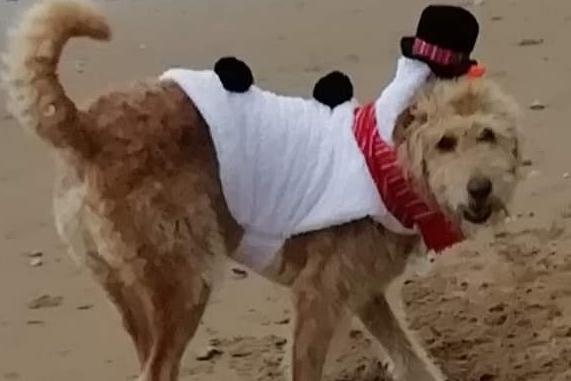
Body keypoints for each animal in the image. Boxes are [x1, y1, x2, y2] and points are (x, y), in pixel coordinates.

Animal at [3, 0, 524, 380]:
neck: (387, 163)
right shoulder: (319, 297)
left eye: (489, 135)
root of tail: (85, 128)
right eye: (445, 142)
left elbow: (411, 359)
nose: (481, 190)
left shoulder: (364, 295)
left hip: (132, 291)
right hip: (185, 282)